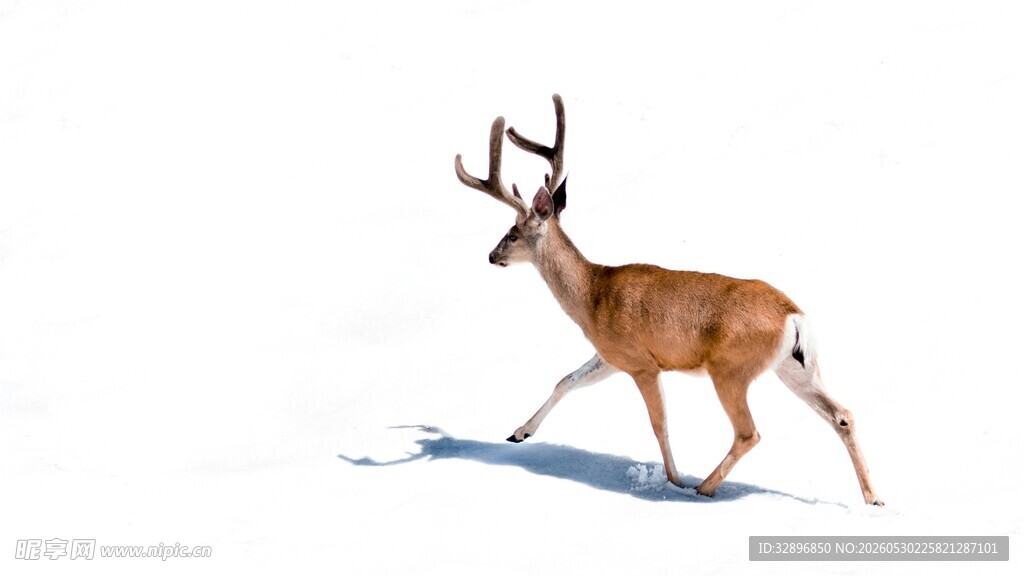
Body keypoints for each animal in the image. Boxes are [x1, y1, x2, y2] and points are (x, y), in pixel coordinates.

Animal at [453, 94, 883, 506]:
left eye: (512, 233)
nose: (491, 256)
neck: (592, 296)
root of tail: (793, 316)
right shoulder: (612, 355)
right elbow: (565, 380)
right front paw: (519, 432)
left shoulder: (642, 362)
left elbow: (659, 424)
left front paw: (673, 480)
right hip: (794, 366)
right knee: (842, 415)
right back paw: (873, 498)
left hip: (731, 368)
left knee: (749, 432)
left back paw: (702, 488)